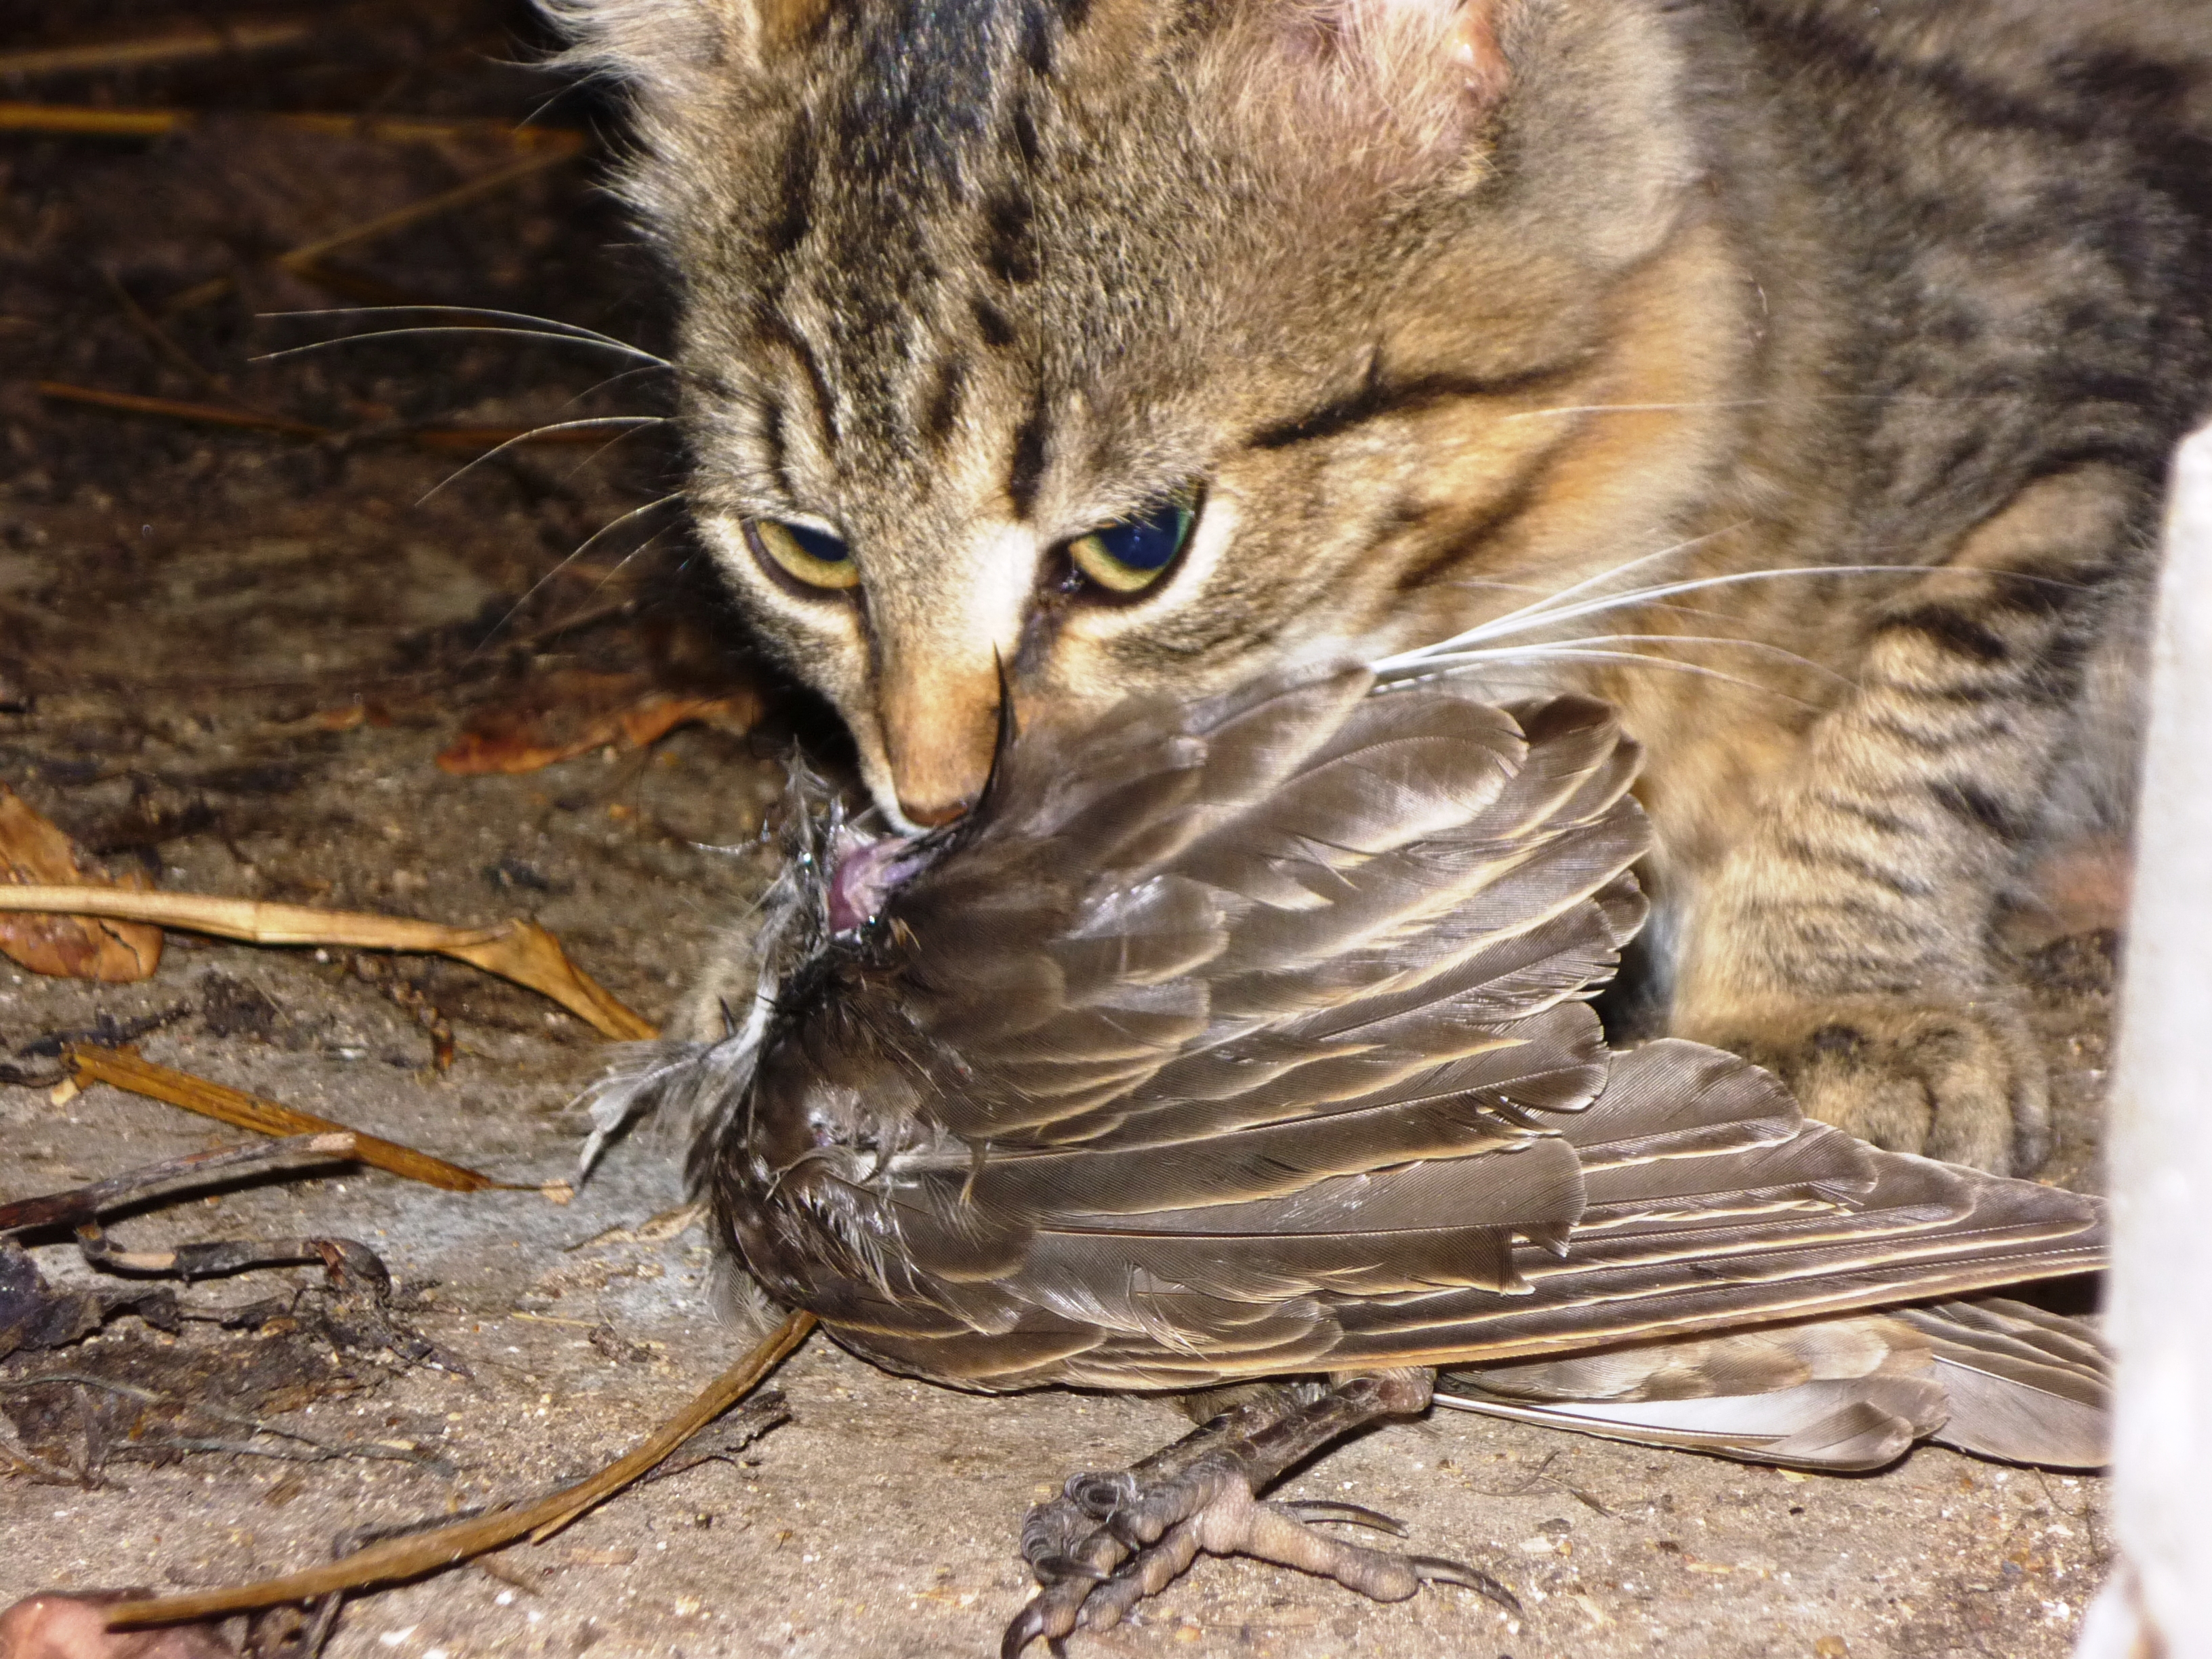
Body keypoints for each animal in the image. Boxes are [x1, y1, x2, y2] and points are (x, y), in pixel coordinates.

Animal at [548, 0, 2212, 1176]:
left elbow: (1920, 716)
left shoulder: (2087, 404)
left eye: (1140, 546)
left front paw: (1829, 991)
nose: (941, 798)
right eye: (809, 551)